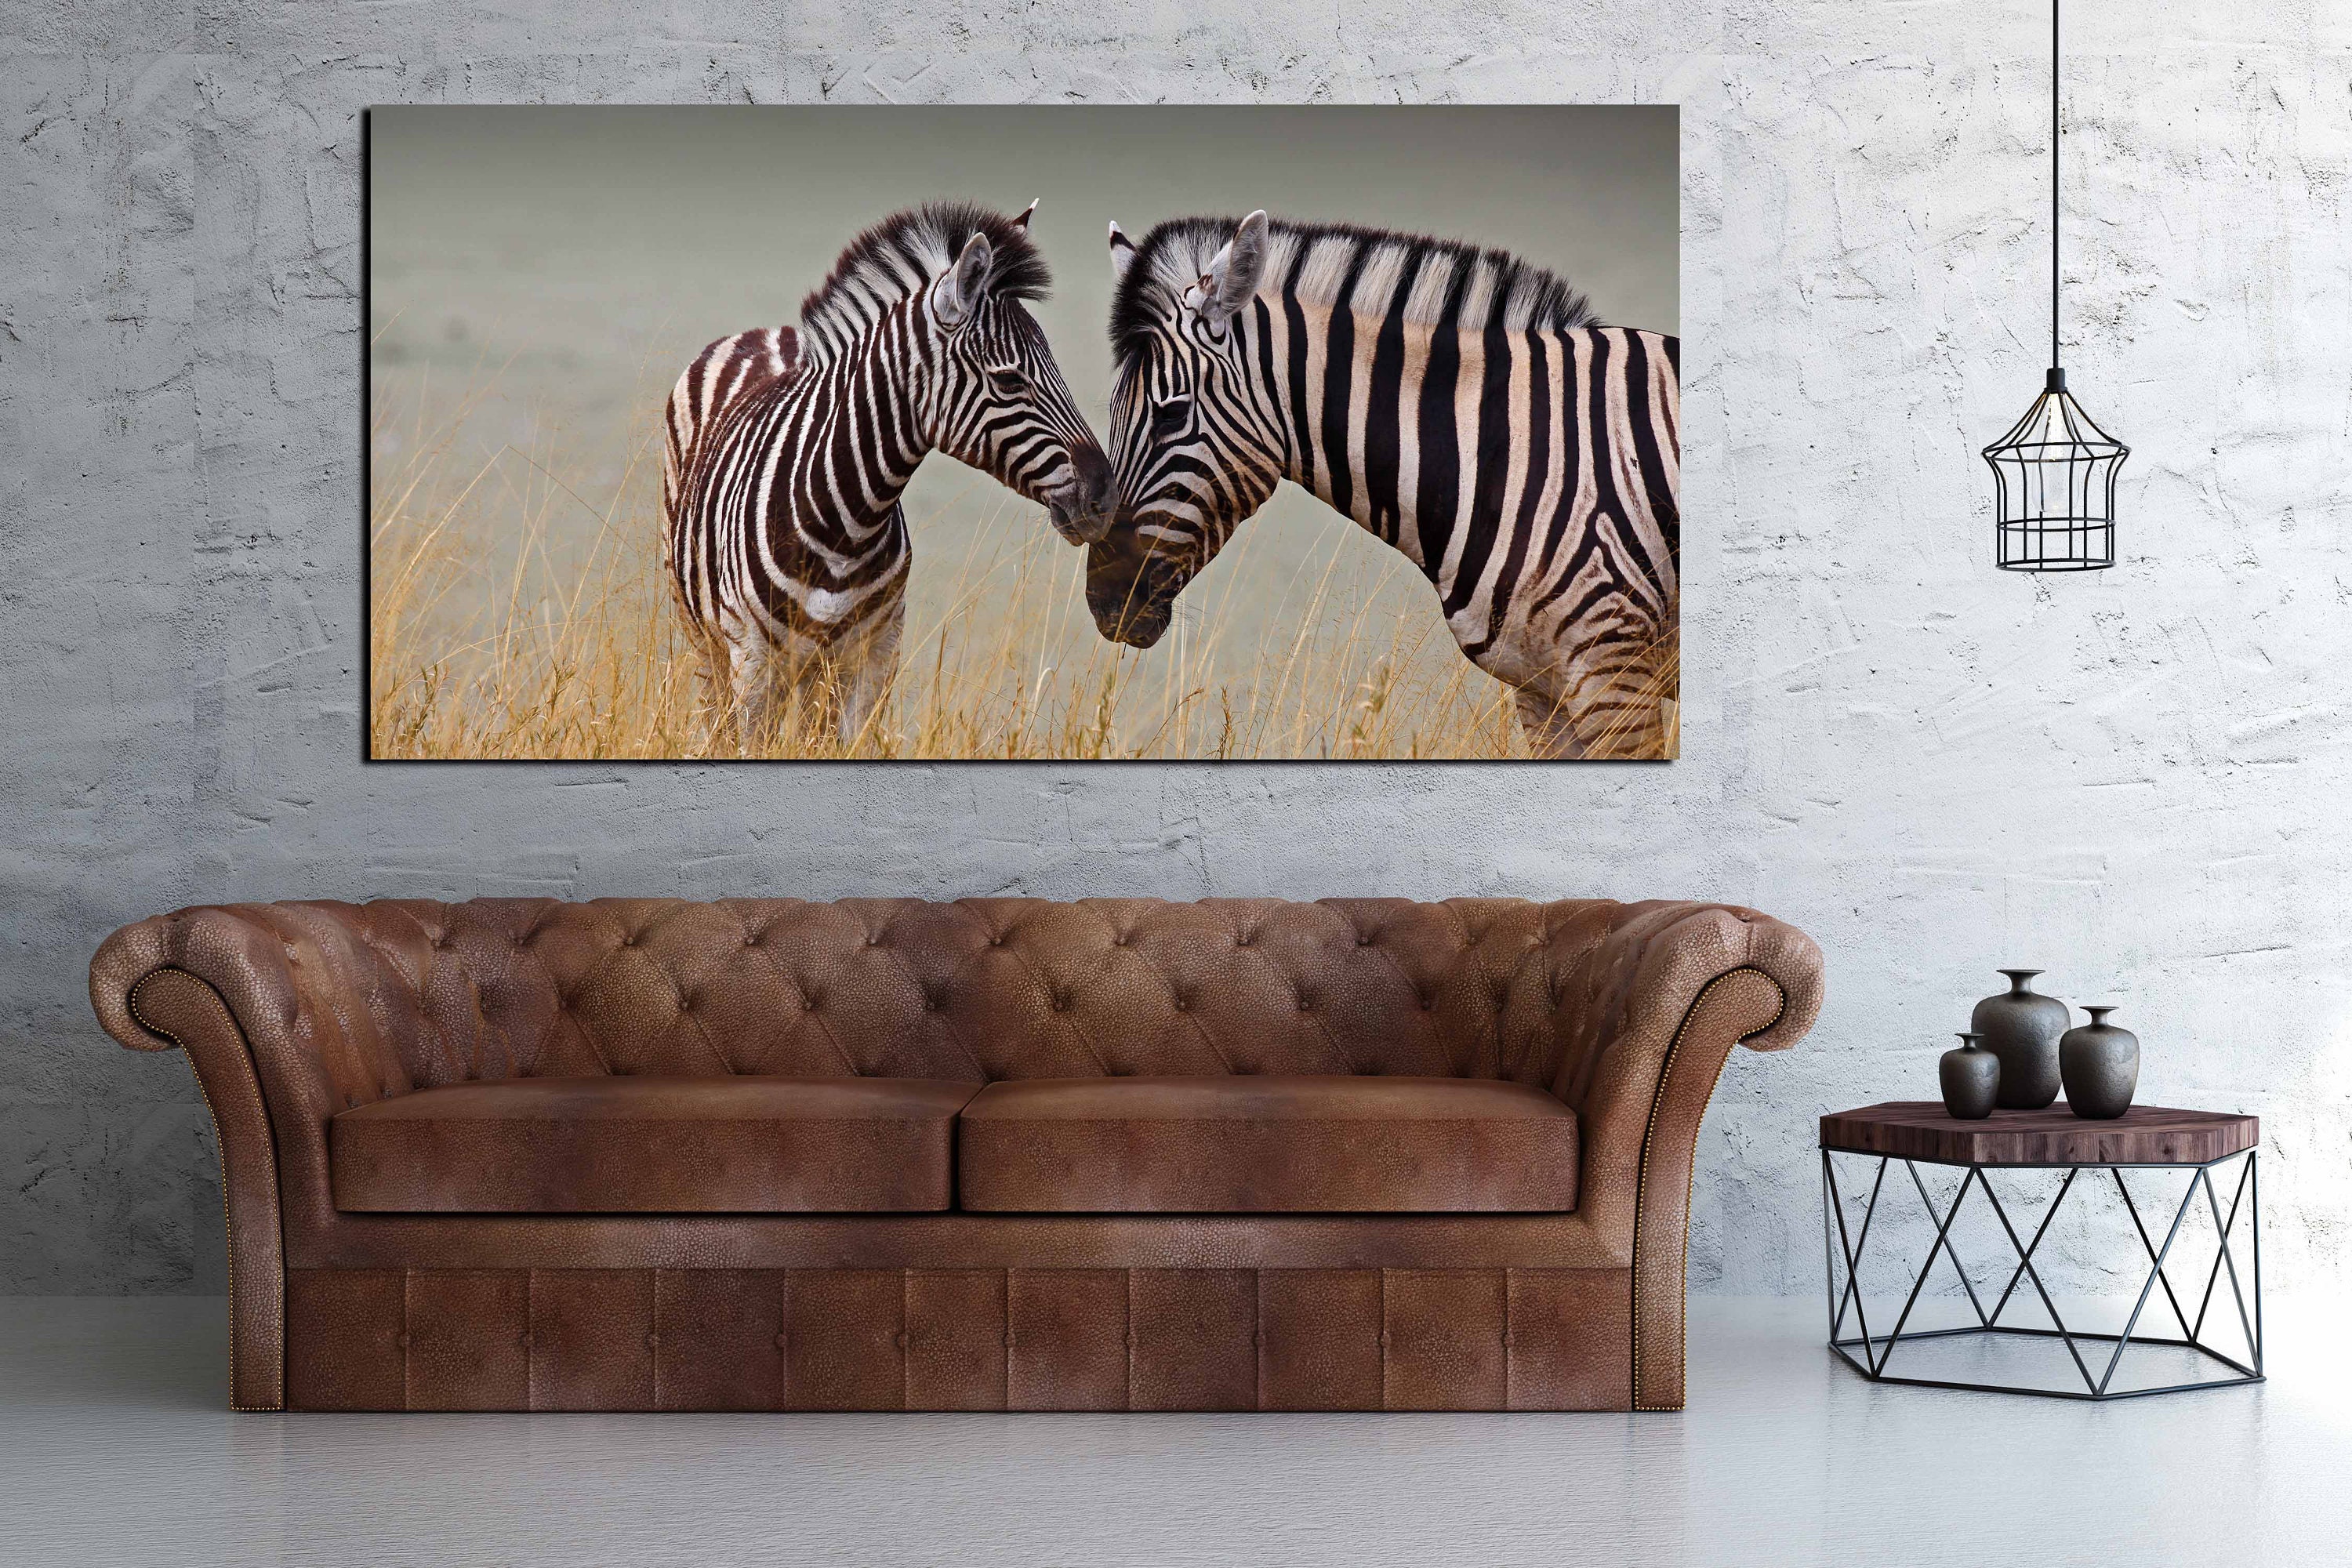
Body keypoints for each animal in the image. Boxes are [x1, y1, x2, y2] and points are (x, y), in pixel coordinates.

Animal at [661, 200, 1111, 749]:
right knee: (714, 717)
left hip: (814, 670)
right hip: (705, 638)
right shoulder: (753, 656)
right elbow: (751, 743)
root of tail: (765, 332)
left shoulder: (877, 651)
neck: (845, 522)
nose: (1105, 496)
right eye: (1008, 380)